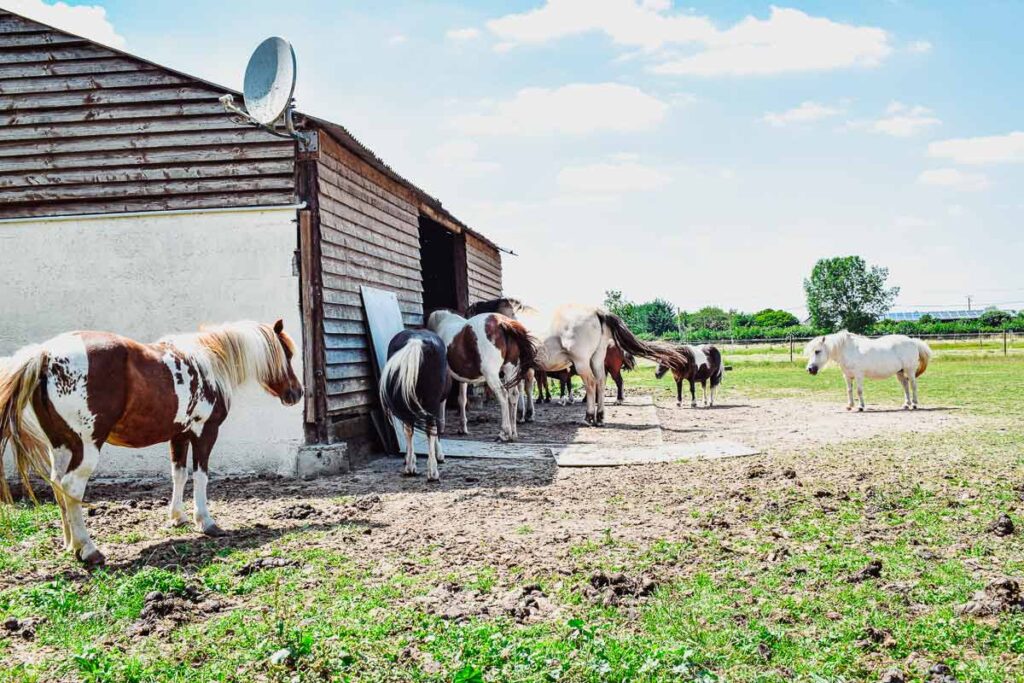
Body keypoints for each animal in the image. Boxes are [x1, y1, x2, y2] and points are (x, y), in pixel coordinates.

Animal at [0, 321, 301, 565]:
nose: (296, 393)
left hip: (61, 445)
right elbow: (201, 476)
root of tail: (46, 355)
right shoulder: (205, 433)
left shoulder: (179, 435)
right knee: (72, 486)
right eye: (286, 354)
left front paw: (177, 517)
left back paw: (70, 544)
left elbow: (179, 474)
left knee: (58, 485)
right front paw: (206, 522)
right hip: (86, 447)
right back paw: (89, 549)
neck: (209, 364)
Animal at [425, 311, 540, 444]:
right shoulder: (463, 378)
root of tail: (502, 322)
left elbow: (443, 399)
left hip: (491, 375)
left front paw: (441, 426)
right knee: (513, 396)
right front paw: (462, 428)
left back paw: (504, 433)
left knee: (503, 395)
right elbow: (462, 400)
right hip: (509, 370)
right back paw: (513, 434)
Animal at [802, 331, 933, 411]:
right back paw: (906, 404)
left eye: (817, 351)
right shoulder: (847, 376)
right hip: (899, 372)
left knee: (913, 385)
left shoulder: (859, 375)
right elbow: (849, 390)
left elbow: (859, 391)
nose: (810, 369)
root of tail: (913, 341)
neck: (847, 350)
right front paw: (849, 406)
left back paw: (914, 404)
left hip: (910, 371)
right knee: (905, 386)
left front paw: (861, 407)